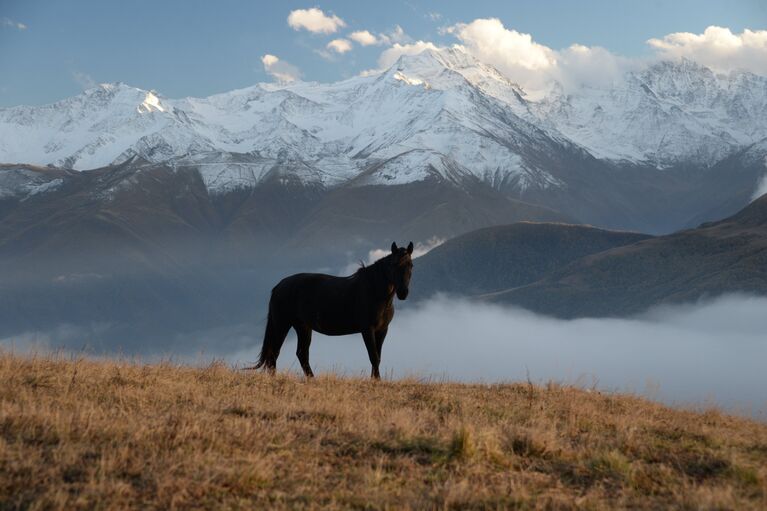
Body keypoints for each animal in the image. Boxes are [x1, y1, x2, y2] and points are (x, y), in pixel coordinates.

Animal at [250, 241, 414, 380]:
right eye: (394, 264)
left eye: (411, 265)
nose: (403, 293)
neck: (374, 291)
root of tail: (279, 286)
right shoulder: (367, 330)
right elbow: (373, 356)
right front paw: (375, 381)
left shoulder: (382, 330)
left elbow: (378, 357)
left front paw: (376, 380)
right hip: (282, 325)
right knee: (274, 353)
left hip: (303, 327)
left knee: (302, 354)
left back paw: (312, 380)